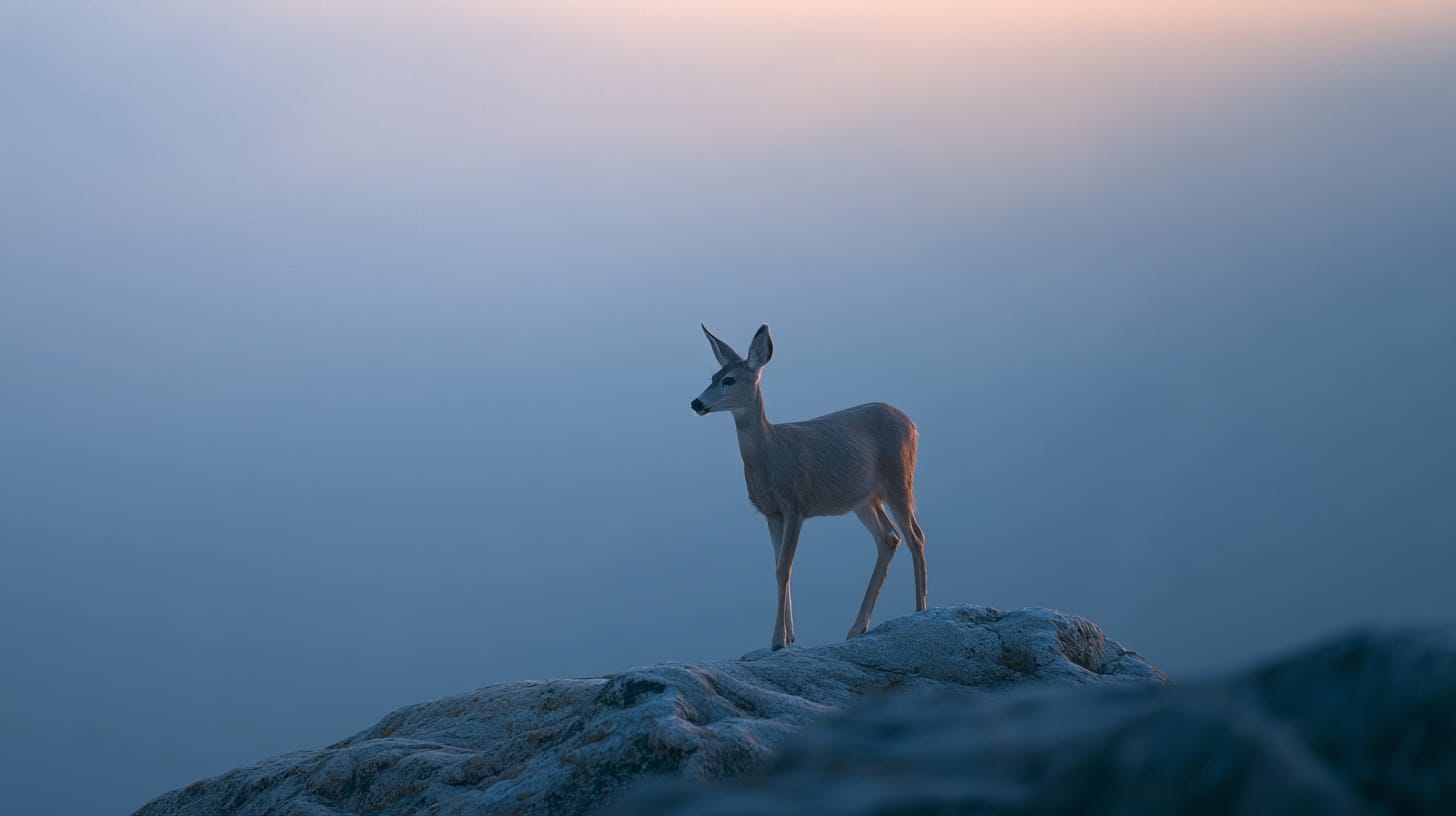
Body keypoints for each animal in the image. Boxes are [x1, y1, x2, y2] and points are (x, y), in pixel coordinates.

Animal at [691, 324, 927, 650]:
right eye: (712, 376)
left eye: (729, 379)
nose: (696, 403)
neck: (771, 453)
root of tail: (913, 424)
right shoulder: (771, 513)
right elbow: (779, 567)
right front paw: (790, 637)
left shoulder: (795, 504)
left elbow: (783, 568)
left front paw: (778, 639)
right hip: (864, 499)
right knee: (889, 538)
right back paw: (857, 627)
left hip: (899, 478)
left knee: (916, 536)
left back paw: (920, 611)